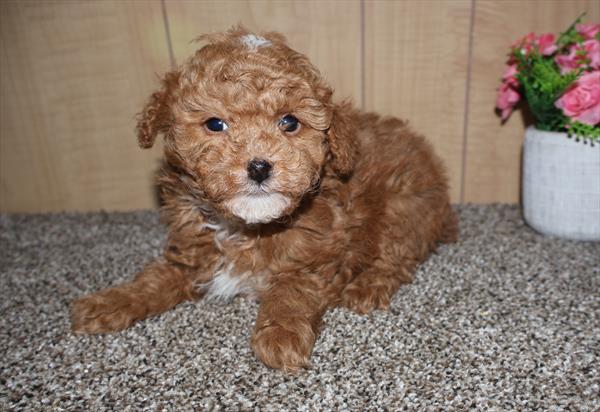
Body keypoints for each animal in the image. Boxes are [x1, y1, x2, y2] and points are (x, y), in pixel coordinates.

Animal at [72, 27, 458, 372]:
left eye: (289, 122)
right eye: (215, 124)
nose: (259, 166)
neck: (247, 227)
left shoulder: (318, 257)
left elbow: (292, 288)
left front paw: (281, 334)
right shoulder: (193, 253)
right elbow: (155, 279)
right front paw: (110, 301)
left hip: (404, 206)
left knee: (397, 258)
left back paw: (367, 287)